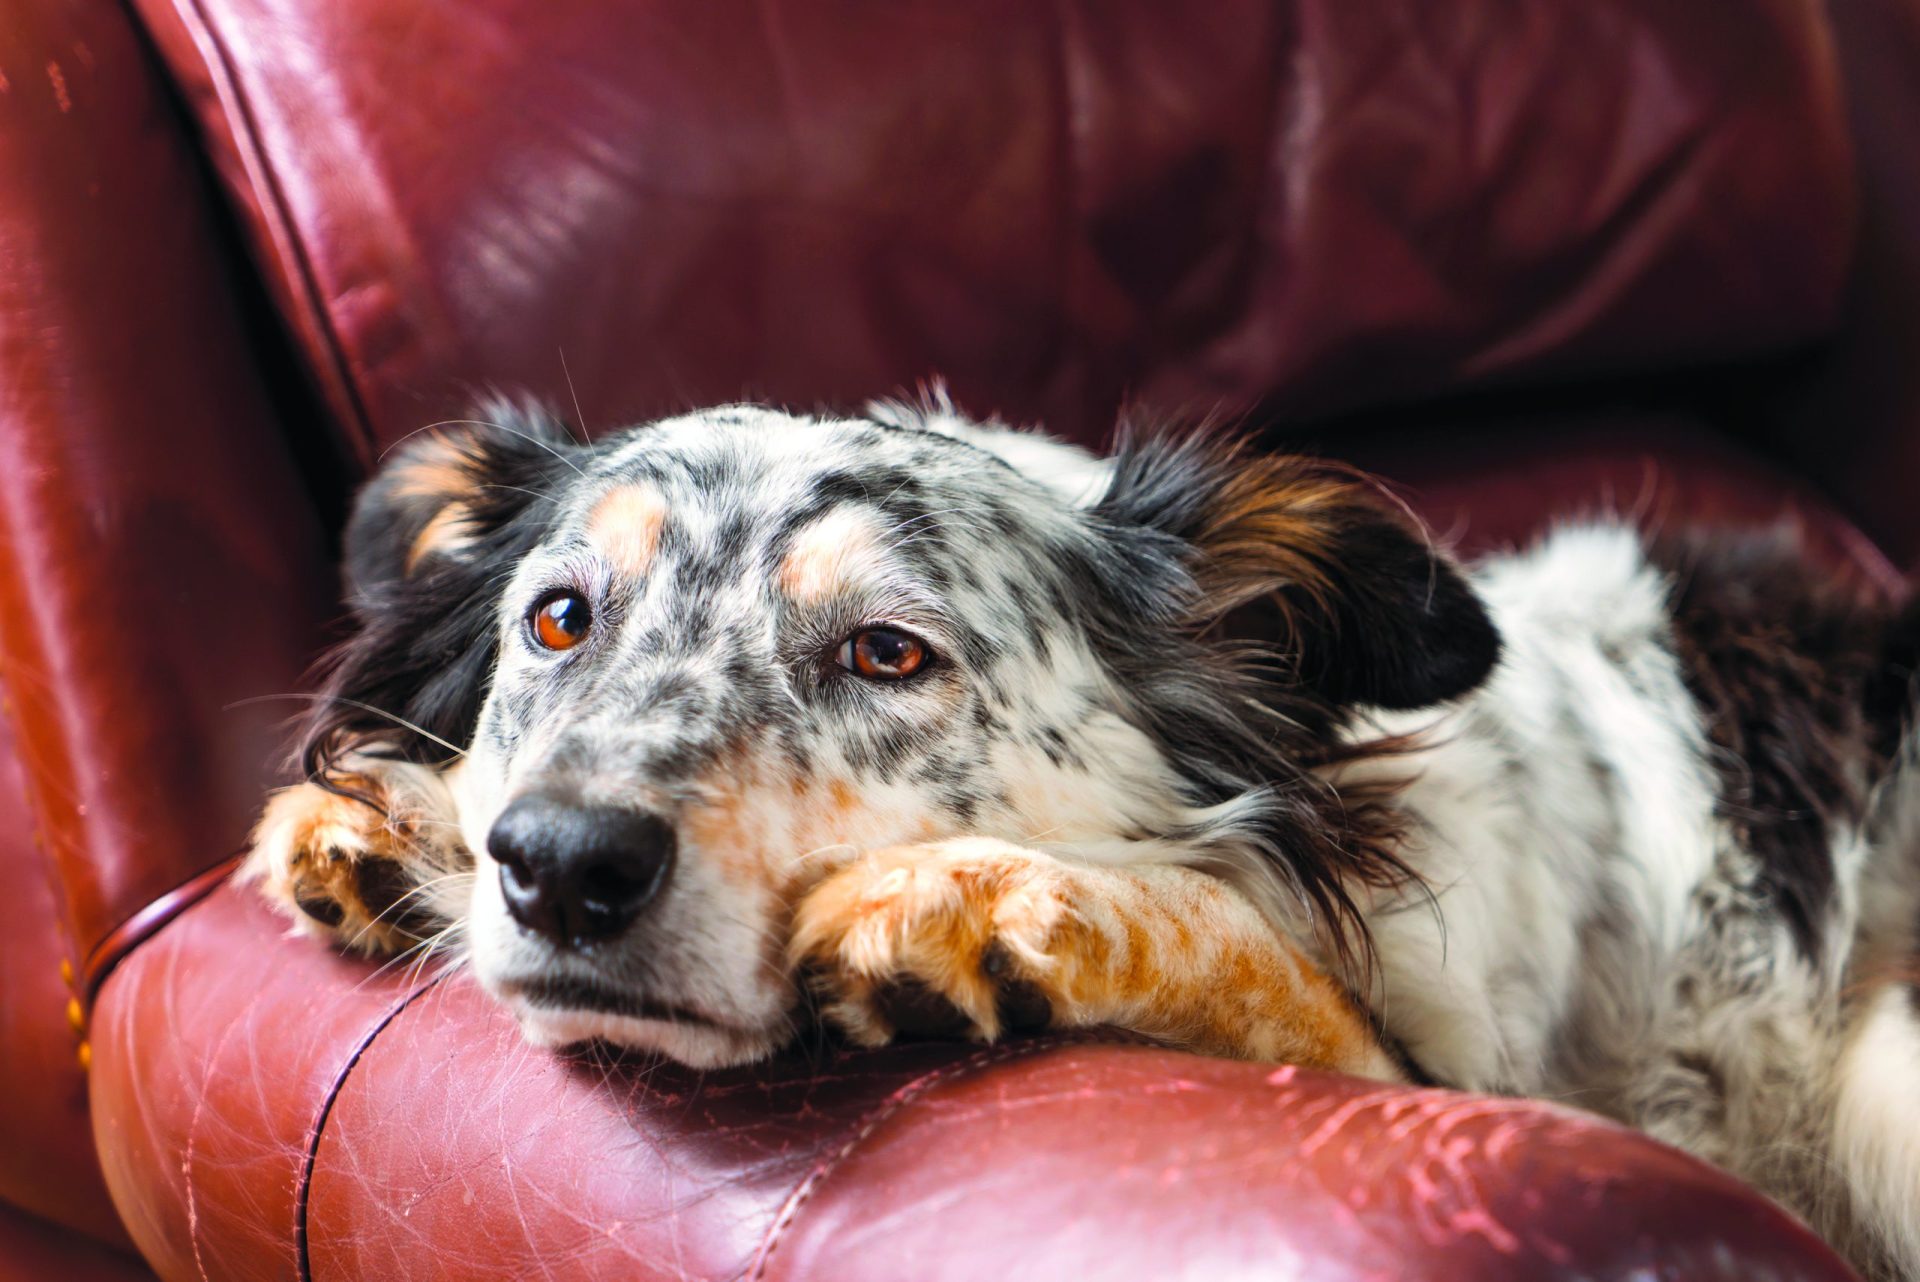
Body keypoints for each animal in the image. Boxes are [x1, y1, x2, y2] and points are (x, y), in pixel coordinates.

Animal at [247, 397, 1920, 1274]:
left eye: (889, 652)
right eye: (558, 618)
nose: (561, 864)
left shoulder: (1476, 1084)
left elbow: (1242, 939)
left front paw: (973, 901)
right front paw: (392, 820)